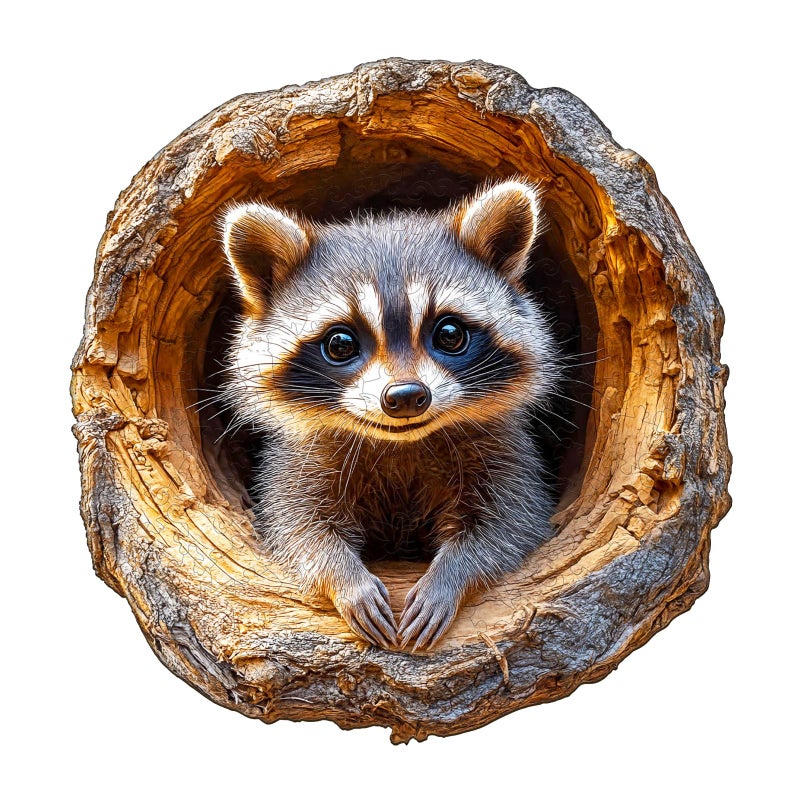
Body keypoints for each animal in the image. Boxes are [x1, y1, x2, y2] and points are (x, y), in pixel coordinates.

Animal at [219, 179, 559, 651]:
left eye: (449, 334)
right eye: (340, 343)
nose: (406, 396)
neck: (401, 441)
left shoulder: (505, 452)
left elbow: (508, 523)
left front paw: (450, 577)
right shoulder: (298, 460)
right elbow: (299, 527)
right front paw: (345, 579)